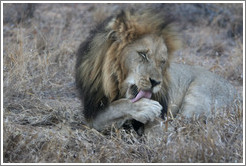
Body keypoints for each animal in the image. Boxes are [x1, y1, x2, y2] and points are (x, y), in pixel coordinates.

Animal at [74, 9, 236, 133]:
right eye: (143, 54)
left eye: (162, 62)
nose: (156, 82)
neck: (115, 84)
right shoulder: (93, 114)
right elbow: (116, 106)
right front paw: (146, 107)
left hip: (198, 95)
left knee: (182, 125)